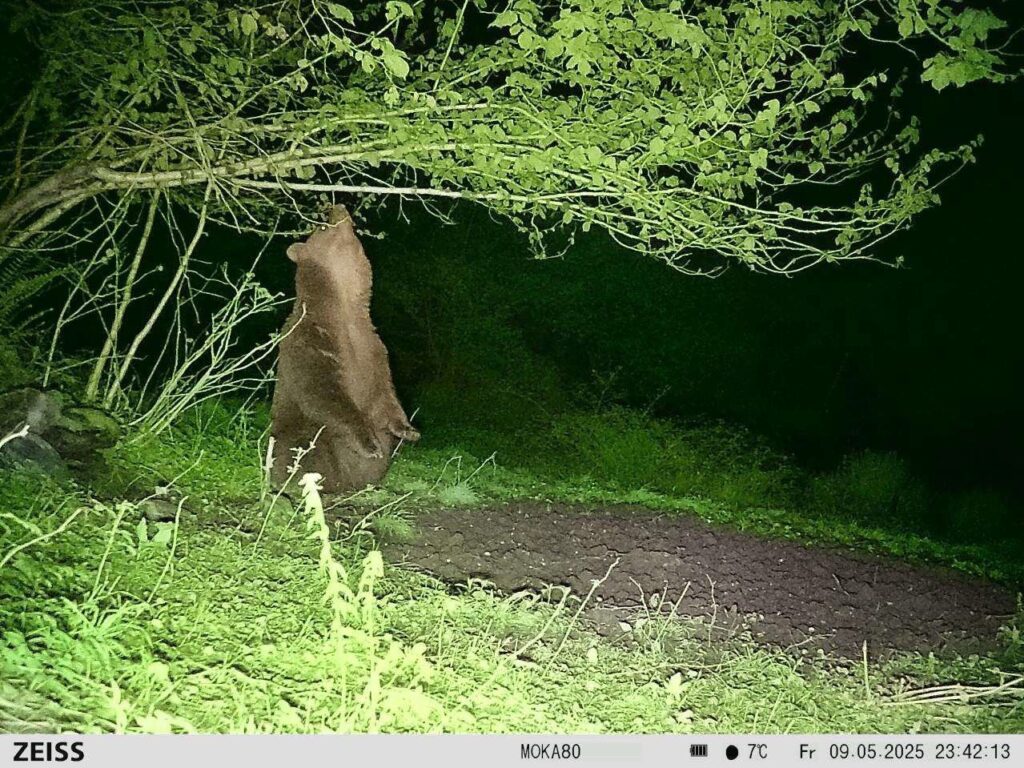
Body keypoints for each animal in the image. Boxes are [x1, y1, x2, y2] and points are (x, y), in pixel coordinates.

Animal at [270, 204, 419, 493]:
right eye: (321, 226)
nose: (336, 207)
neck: (343, 307)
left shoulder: (372, 347)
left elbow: (386, 393)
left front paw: (409, 430)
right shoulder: (311, 340)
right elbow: (324, 392)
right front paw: (370, 443)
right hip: (298, 433)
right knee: (302, 449)